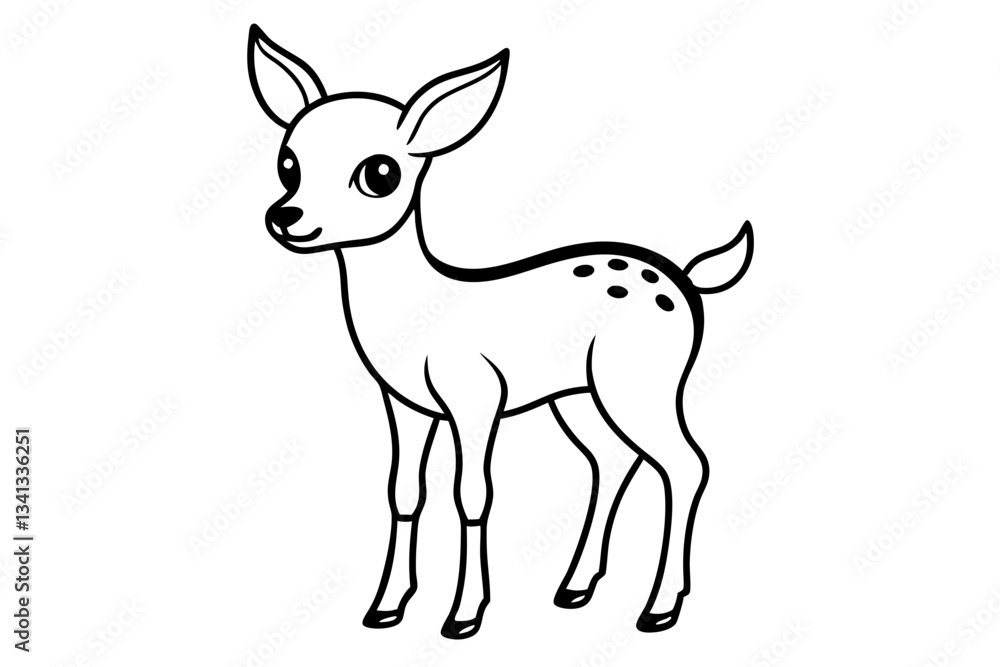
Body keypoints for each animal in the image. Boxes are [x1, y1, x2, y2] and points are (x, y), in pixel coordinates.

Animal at [246, 24, 753, 639]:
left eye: (380, 172)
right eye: (288, 162)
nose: (286, 218)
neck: (418, 308)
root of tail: (686, 280)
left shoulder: (476, 395)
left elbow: (472, 494)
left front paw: (464, 615)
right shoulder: (404, 403)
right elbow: (404, 490)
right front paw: (387, 606)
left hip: (641, 382)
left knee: (685, 464)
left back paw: (659, 608)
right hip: (579, 395)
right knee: (612, 462)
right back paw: (576, 587)